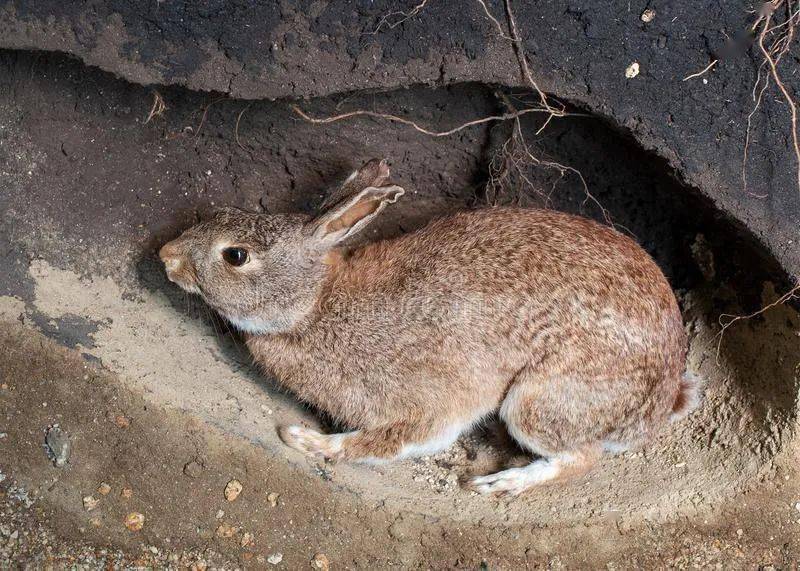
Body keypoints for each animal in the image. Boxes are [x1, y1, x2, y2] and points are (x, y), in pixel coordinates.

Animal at [161, 158, 700, 496]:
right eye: (222, 214)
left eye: (235, 256)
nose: (166, 257)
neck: (314, 306)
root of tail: (662, 401)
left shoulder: (428, 404)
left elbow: (390, 441)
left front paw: (308, 441)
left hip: (540, 400)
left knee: (580, 457)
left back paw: (501, 483)